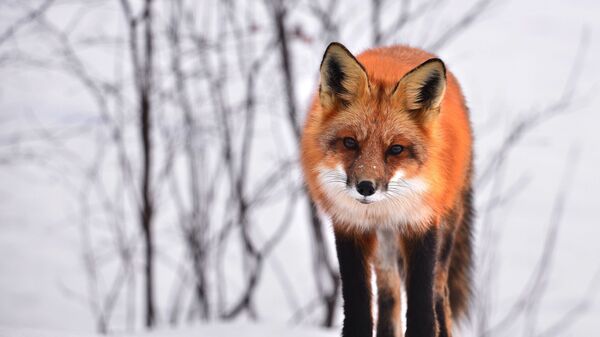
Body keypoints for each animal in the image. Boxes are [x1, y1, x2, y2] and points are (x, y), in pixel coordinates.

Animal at [300, 42, 474, 336]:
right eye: (350, 142)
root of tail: (404, 46)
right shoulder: (350, 227)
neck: (383, 209)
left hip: (443, 240)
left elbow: (423, 314)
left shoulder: (421, 226)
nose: (365, 187)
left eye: (396, 149)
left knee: (440, 298)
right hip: (384, 252)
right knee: (389, 298)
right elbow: (358, 312)